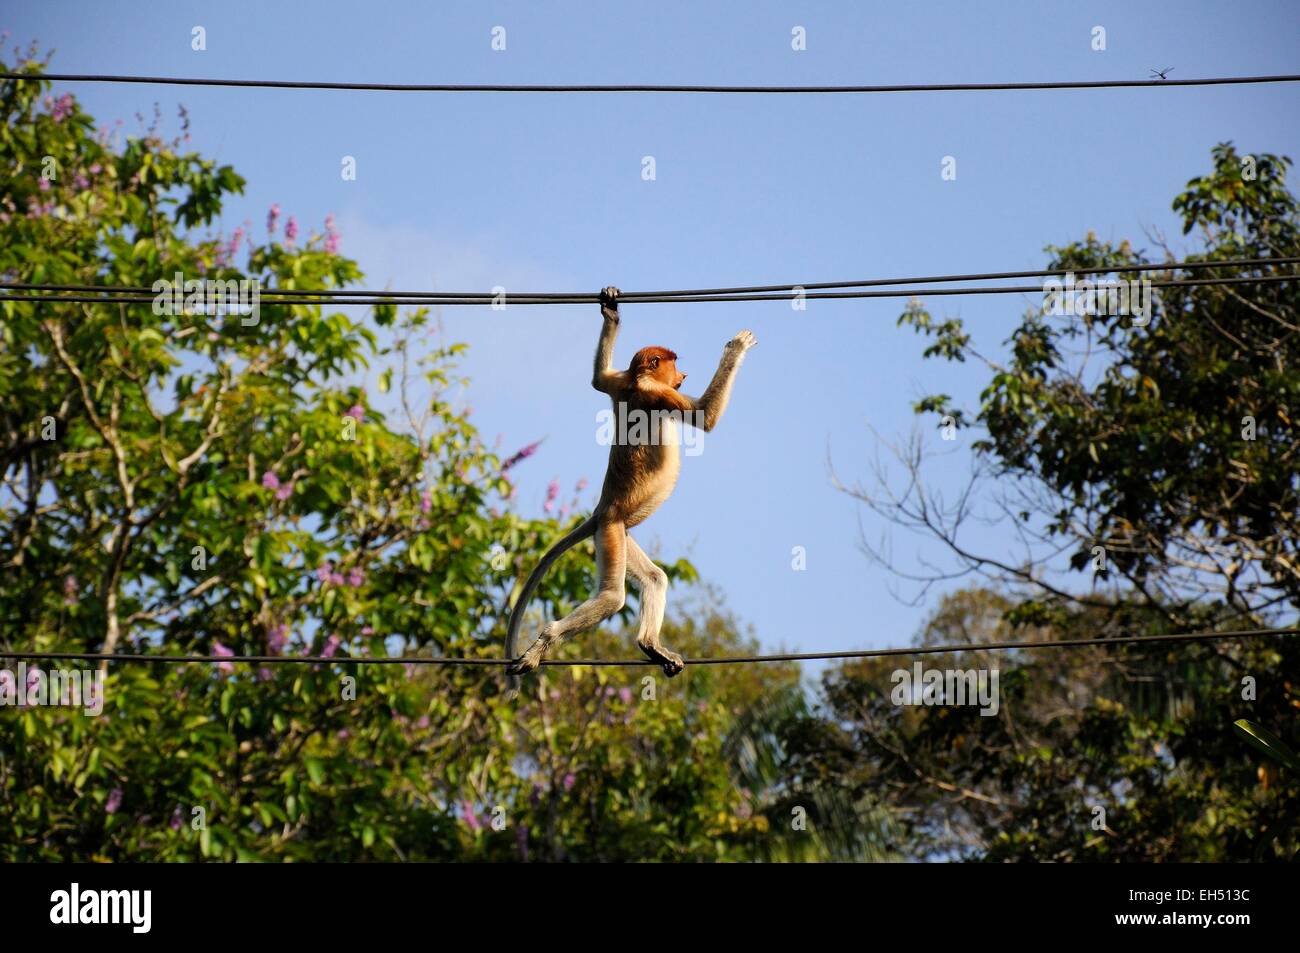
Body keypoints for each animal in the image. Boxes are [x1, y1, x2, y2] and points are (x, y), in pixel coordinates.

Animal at [503, 286, 756, 697]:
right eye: (673, 365)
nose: (683, 375)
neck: (638, 381)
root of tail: (601, 510)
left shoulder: (620, 382)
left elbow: (598, 380)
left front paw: (610, 308)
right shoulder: (657, 394)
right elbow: (705, 414)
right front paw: (736, 345)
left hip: (618, 532)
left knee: (654, 579)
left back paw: (650, 646)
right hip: (611, 532)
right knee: (611, 598)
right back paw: (546, 640)